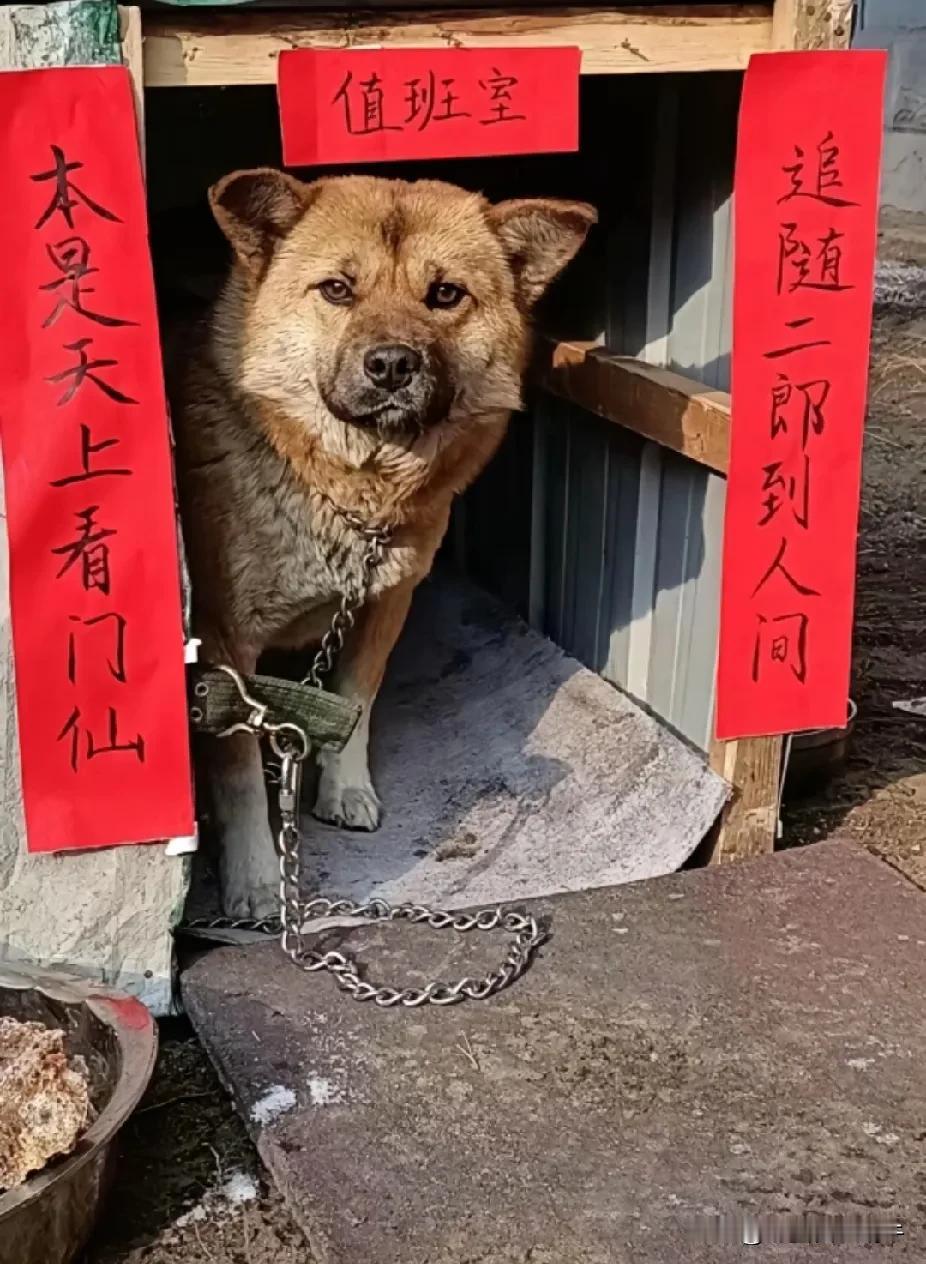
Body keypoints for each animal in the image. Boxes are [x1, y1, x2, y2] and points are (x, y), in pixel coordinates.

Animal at [169, 170, 596, 920]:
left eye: (445, 294)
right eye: (338, 289)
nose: (393, 364)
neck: (350, 491)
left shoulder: (385, 603)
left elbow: (356, 700)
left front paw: (344, 787)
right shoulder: (224, 646)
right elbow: (242, 773)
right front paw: (256, 879)